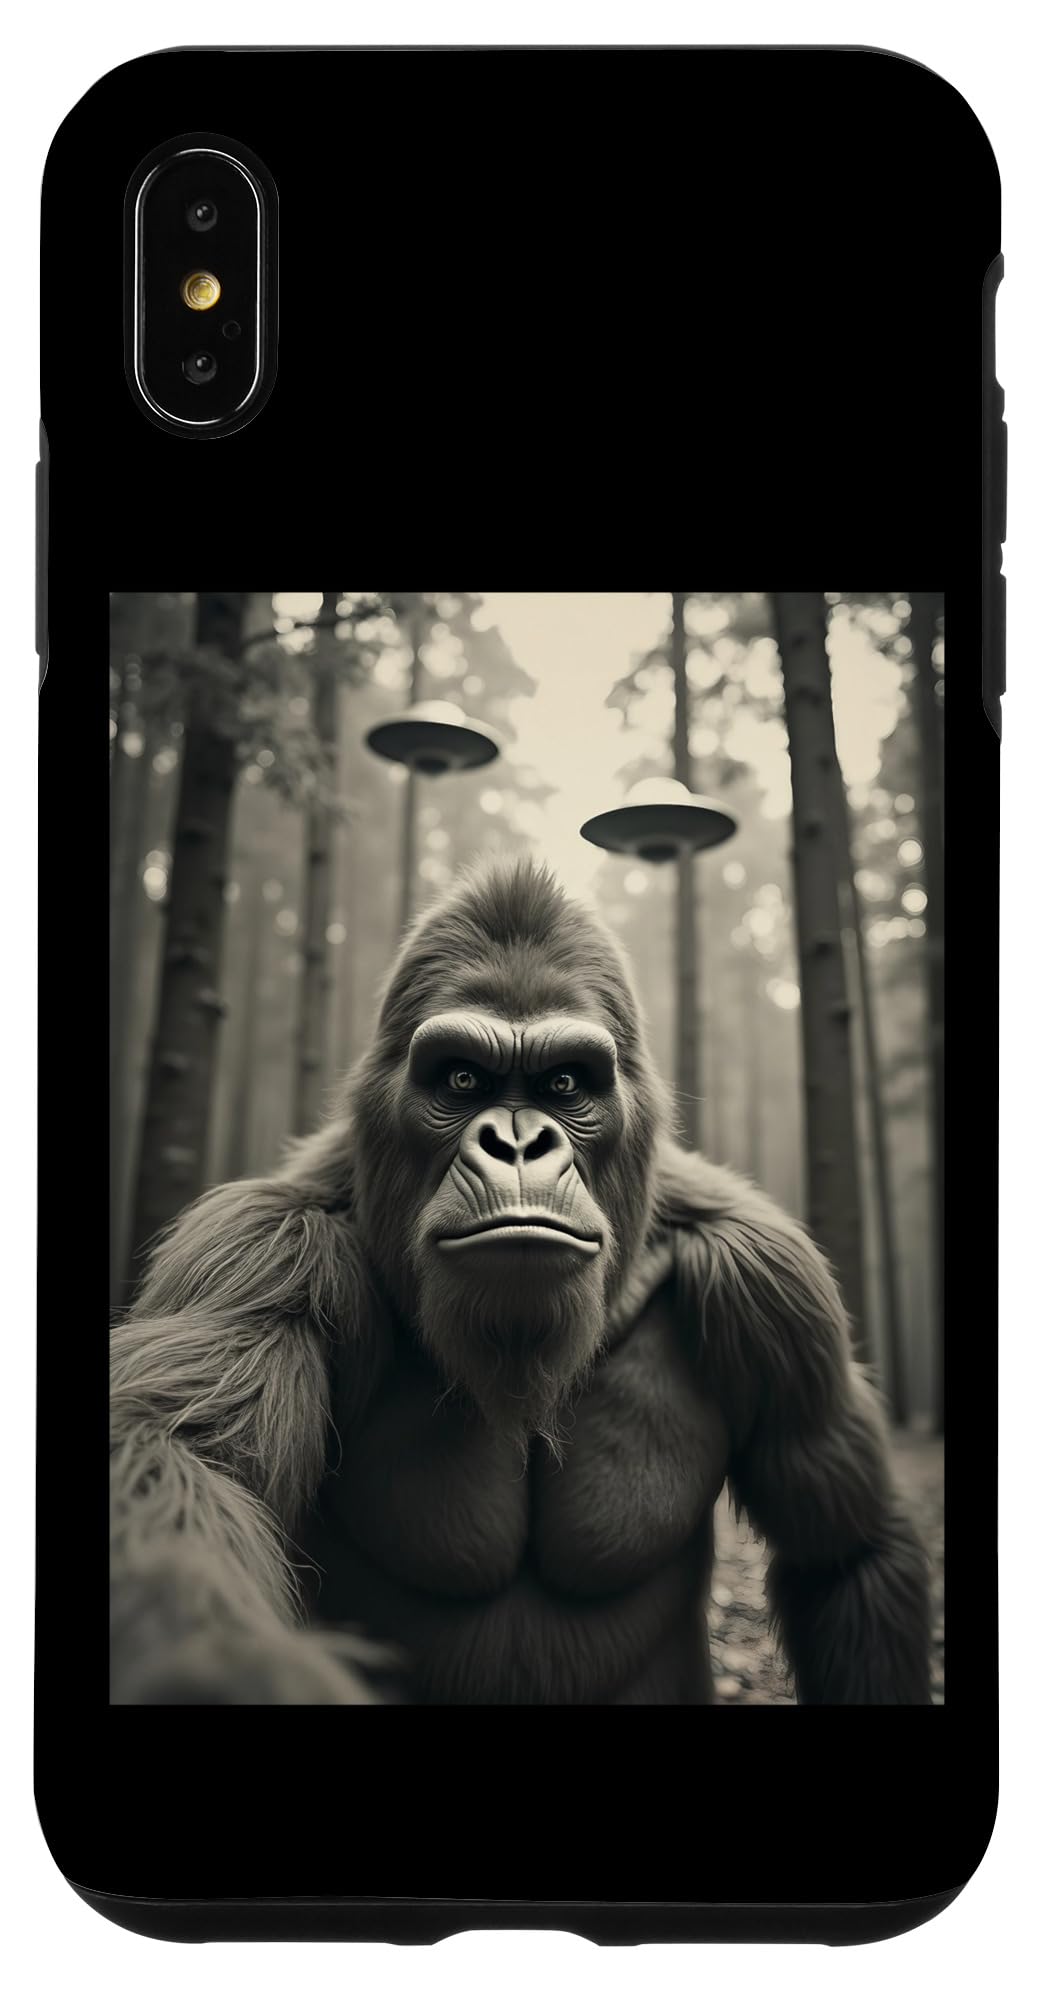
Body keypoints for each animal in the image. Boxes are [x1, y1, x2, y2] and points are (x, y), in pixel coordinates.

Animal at [110, 858, 931, 1704]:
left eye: (563, 1085)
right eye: (462, 1080)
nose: (516, 1142)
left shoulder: (770, 1279)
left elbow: (845, 1553)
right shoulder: (261, 1247)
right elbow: (169, 1463)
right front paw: (220, 1663)